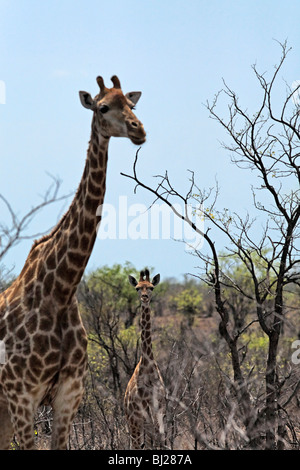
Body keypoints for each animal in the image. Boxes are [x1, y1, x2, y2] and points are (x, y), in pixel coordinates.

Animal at [0, 72, 146, 448]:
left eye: (132, 103)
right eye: (103, 106)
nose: (139, 130)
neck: (62, 289)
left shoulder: (69, 395)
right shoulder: (22, 394)